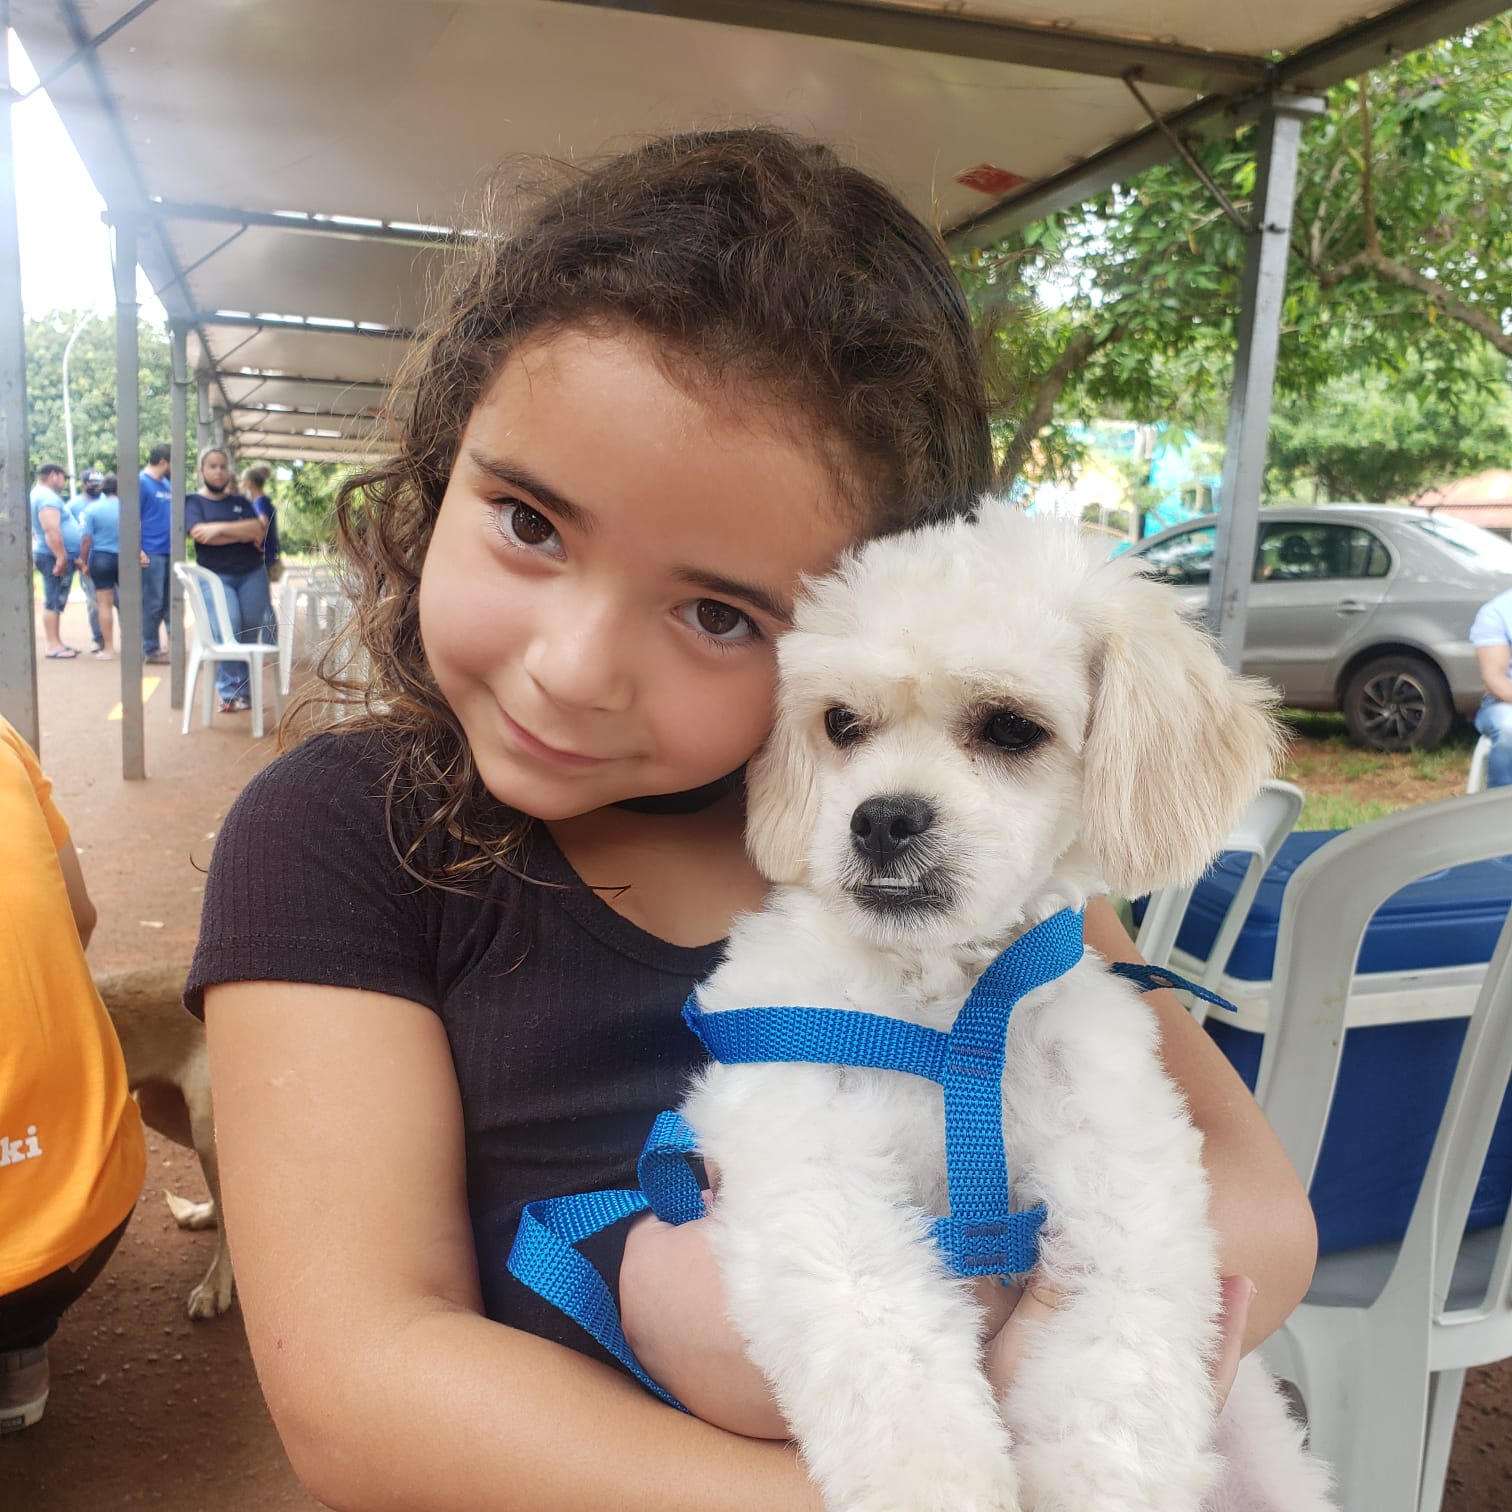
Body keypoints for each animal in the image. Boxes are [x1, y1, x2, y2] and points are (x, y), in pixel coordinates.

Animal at [679, 504, 1334, 1511]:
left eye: (1010, 728)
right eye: (840, 723)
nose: (881, 818)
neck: (950, 1014)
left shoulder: (1121, 1200)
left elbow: (1111, 1407)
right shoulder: (816, 1169)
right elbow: (895, 1370)